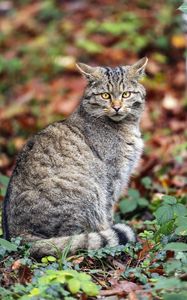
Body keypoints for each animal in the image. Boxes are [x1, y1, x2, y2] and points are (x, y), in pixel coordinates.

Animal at [1, 56, 148, 258]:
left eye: (126, 94)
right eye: (105, 96)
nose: (117, 107)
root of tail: (17, 235)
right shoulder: (112, 179)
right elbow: (108, 212)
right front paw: (109, 229)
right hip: (88, 189)